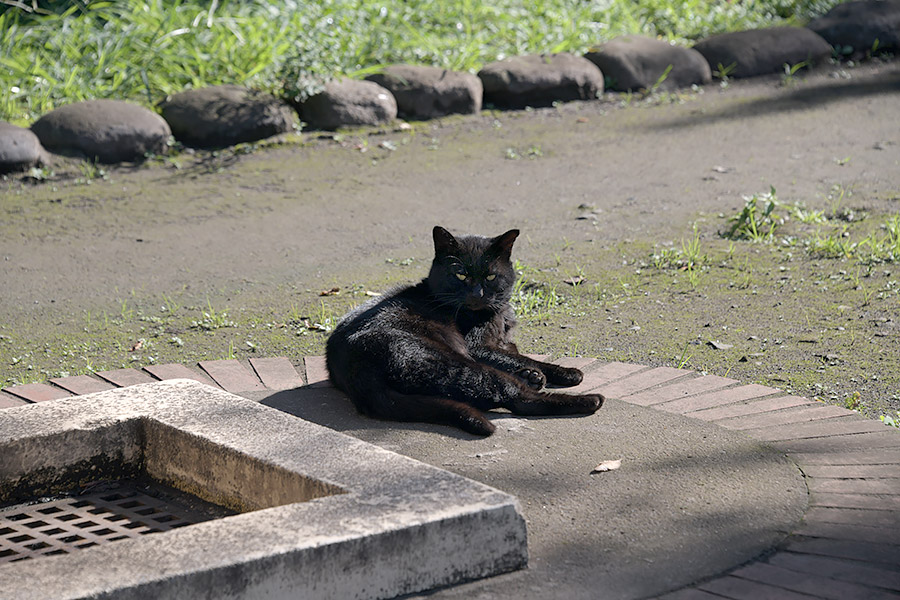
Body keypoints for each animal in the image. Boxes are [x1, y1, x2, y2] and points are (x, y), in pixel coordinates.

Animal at [326, 225, 604, 436]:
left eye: (490, 277)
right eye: (459, 275)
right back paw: (588, 400)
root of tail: (356, 370)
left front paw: (536, 373)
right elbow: (522, 358)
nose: (476, 295)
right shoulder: (476, 348)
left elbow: (515, 354)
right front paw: (567, 372)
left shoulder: (503, 343)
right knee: (516, 398)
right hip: (452, 361)